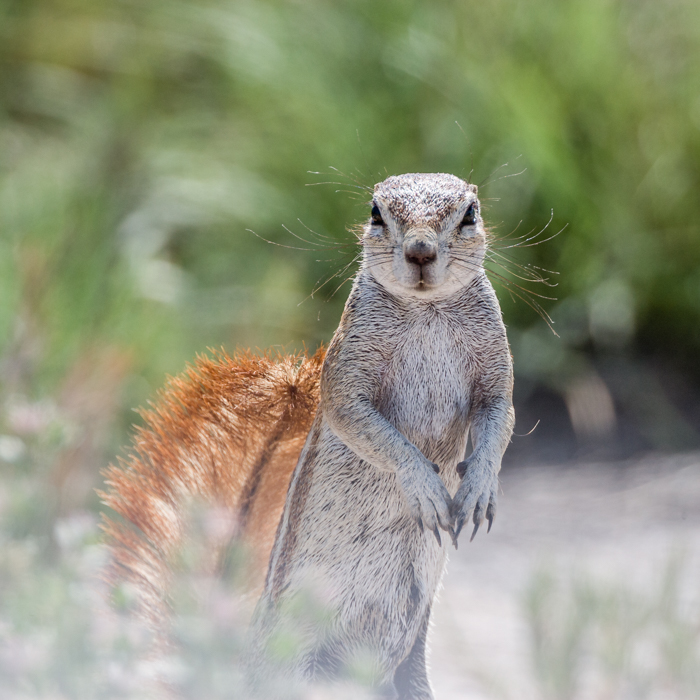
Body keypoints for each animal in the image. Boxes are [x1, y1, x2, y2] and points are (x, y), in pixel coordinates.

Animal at [101, 172, 515, 699]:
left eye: (470, 214)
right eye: (376, 213)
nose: (420, 251)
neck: (427, 309)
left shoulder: (496, 372)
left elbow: (499, 421)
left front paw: (479, 487)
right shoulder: (346, 377)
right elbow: (363, 425)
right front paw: (422, 486)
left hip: (410, 657)